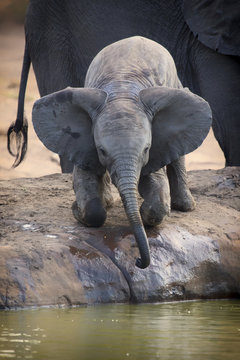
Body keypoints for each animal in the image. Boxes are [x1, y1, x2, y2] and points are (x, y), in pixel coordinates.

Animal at [32, 36, 212, 268]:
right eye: (102, 150)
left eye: (146, 149)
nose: (138, 261)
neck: (122, 93)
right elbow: (85, 182)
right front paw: (77, 211)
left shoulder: (155, 147)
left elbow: (156, 193)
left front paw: (145, 213)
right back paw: (109, 202)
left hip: (177, 86)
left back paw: (185, 207)